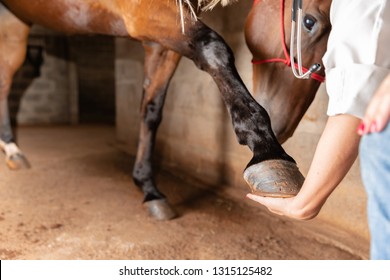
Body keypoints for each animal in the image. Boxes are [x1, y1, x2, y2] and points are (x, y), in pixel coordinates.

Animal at [0, 0, 330, 220]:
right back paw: (11, 148)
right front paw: (267, 150)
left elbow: (151, 110)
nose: (283, 125)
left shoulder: (163, 41)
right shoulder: (146, 15)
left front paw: (148, 187)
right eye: (309, 22)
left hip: (14, 23)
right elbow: (213, 47)